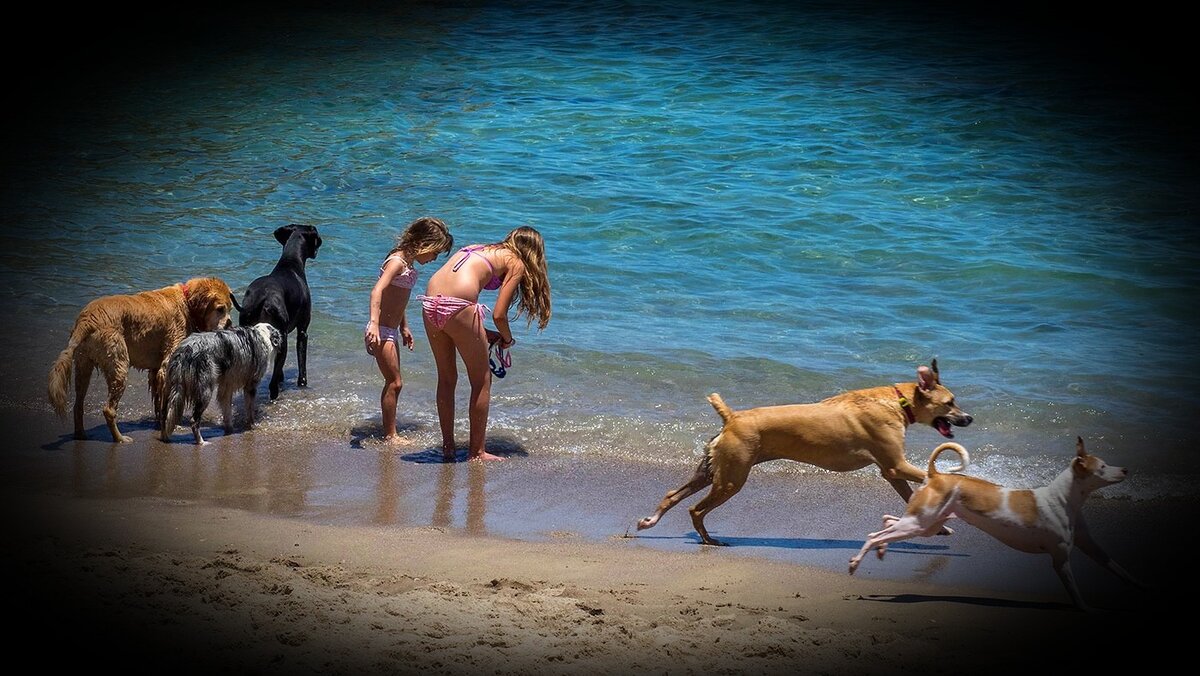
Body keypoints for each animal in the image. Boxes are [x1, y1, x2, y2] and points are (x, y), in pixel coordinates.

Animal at [230, 224, 319, 398]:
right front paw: (302, 383)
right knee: (272, 384)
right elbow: (302, 364)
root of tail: (261, 297)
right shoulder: (302, 331)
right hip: (282, 339)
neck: (290, 263)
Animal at [643, 360, 969, 545]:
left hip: (712, 471)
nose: (969, 418)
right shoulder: (896, 465)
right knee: (696, 509)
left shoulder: (891, 471)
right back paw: (709, 540)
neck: (897, 401)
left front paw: (937, 527)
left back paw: (650, 521)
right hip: (732, 478)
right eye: (950, 402)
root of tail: (733, 417)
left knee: (673, 494)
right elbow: (929, 477)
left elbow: (911, 495)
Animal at [844, 437, 1142, 609]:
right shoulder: (1060, 559)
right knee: (874, 535)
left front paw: (1140, 586)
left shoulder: (1090, 546)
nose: (1126, 469)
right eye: (1102, 468)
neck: (1063, 499)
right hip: (918, 524)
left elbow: (1118, 567)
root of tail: (936, 475)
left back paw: (881, 549)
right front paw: (1086, 609)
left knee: (886, 524)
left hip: (926, 525)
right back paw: (857, 562)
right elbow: (1076, 594)